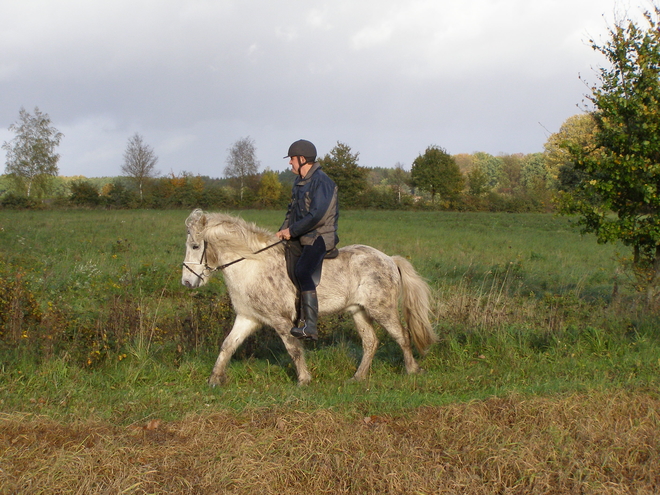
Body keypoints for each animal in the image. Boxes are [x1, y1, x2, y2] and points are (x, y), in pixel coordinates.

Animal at [182, 209, 438, 388]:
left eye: (195, 246)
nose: (186, 282)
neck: (252, 265)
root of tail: (389, 259)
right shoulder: (248, 318)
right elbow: (227, 346)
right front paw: (214, 379)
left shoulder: (281, 321)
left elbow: (293, 349)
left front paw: (304, 380)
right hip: (358, 310)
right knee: (370, 342)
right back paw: (358, 377)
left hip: (381, 309)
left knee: (402, 336)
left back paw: (412, 370)